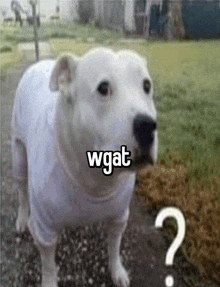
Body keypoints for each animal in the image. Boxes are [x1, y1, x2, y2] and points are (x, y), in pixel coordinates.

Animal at [11, 48, 157, 286]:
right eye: (103, 88)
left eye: (146, 86)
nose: (147, 125)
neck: (94, 180)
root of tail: (38, 64)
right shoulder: (44, 231)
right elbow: (48, 265)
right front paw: (49, 280)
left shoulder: (119, 218)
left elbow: (114, 246)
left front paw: (117, 270)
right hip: (18, 155)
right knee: (22, 190)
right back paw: (22, 218)